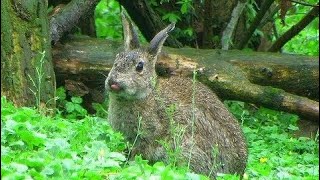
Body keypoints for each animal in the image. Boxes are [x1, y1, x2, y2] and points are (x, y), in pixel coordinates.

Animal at [105, 11, 248, 178]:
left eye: (139, 67)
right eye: (116, 59)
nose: (113, 82)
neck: (147, 94)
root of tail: (238, 171)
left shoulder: (148, 135)